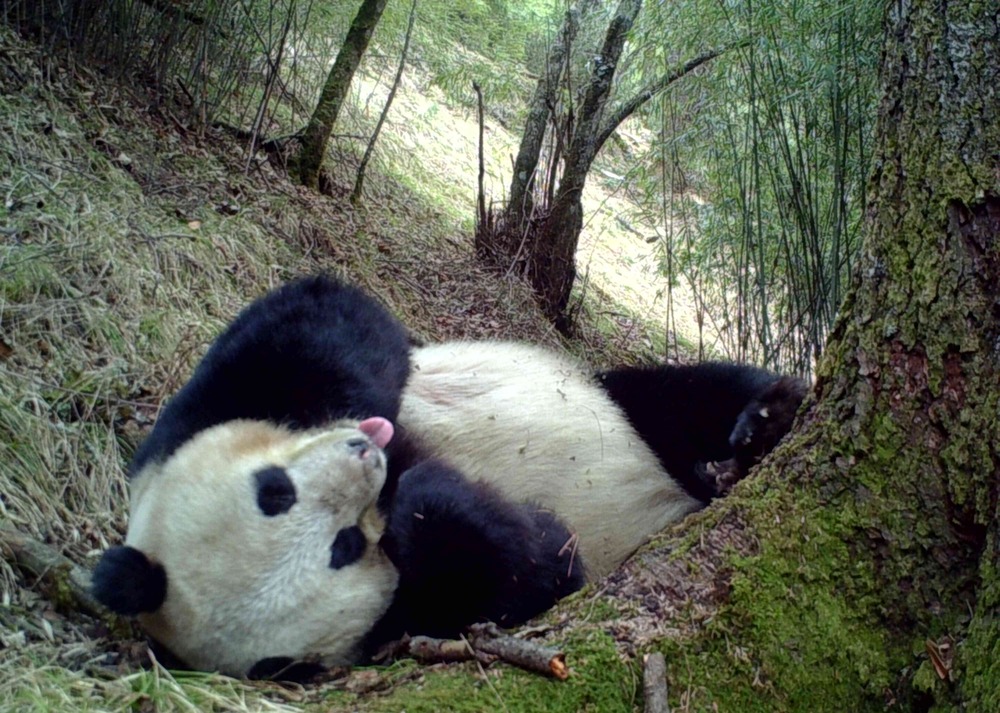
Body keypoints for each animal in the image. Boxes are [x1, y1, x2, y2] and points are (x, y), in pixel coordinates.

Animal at [90, 272, 800, 680]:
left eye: (274, 492)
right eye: (345, 547)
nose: (366, 457)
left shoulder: (197, 412)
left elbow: (328, 317)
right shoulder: (416, 614)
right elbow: (534, 572)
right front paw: (432, 496)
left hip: (625, 411)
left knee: (688, 398)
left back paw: (764, 422)